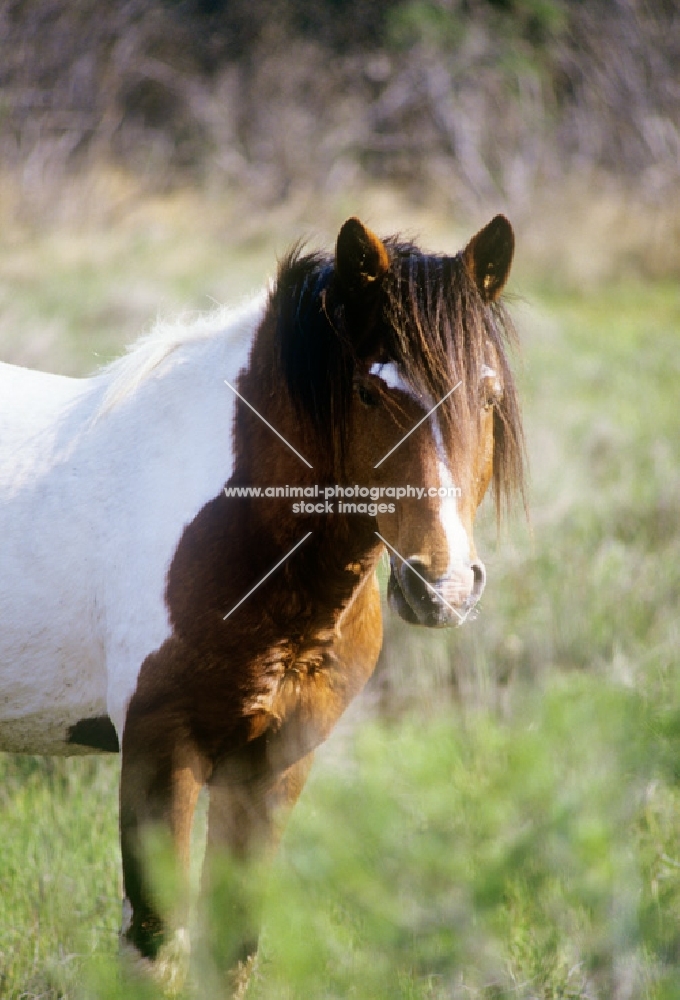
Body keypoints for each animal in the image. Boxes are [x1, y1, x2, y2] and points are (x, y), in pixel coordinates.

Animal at [0, 215, 524, 988]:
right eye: (369, 395)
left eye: (486, 396)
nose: (444, 585)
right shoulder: (160, 749)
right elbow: (155, 946)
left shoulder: (273, 761)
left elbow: (232, 948)